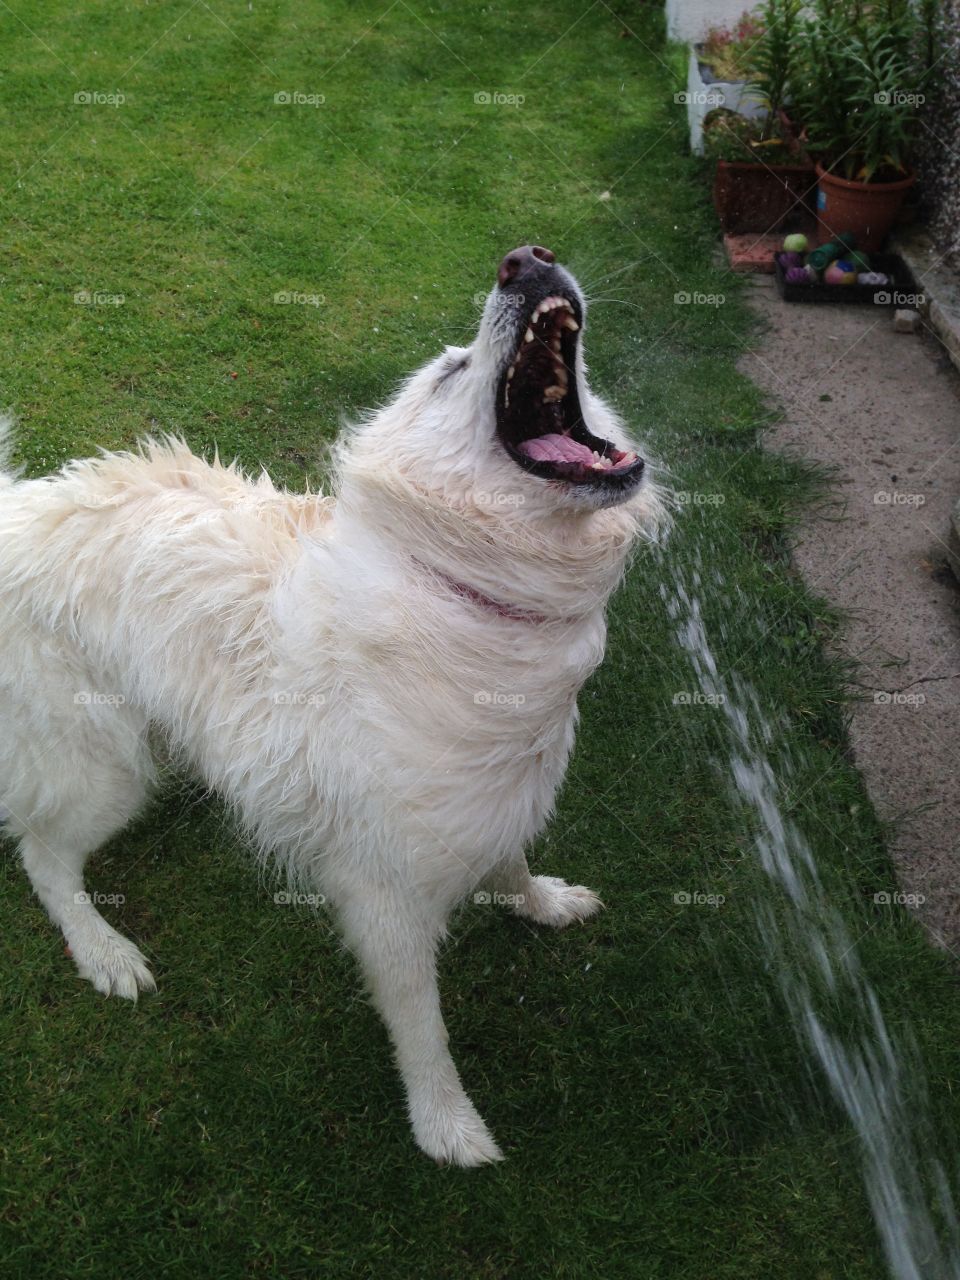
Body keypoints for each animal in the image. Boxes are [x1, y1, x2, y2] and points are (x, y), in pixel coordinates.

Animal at [0, 244, 660, 1167]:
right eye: (452, 373)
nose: (526, 259)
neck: (462, 594)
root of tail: (15, 509)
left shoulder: (499, 801)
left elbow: (511, 863)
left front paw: (542, 904)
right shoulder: (384, 902)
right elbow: (424, 1034)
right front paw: (446, 1127)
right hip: (103, 770)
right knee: (43, 855)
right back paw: (103, 950)